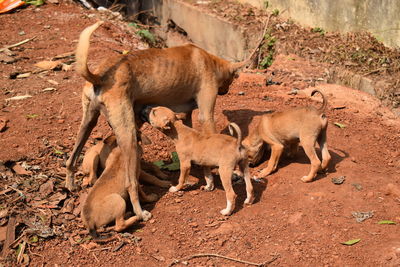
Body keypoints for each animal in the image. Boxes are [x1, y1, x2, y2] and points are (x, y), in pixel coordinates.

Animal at [65, 21, 247, 222]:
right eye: (232, 79)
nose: (225, 91)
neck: (209, 60)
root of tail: (101, 76)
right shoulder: (206, 115)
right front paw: (211, 181)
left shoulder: (186, 117)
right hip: (128, 135)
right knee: (131, 183)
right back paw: (140, 212)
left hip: (87, 124)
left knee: (70, 160)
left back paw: (71, 185)